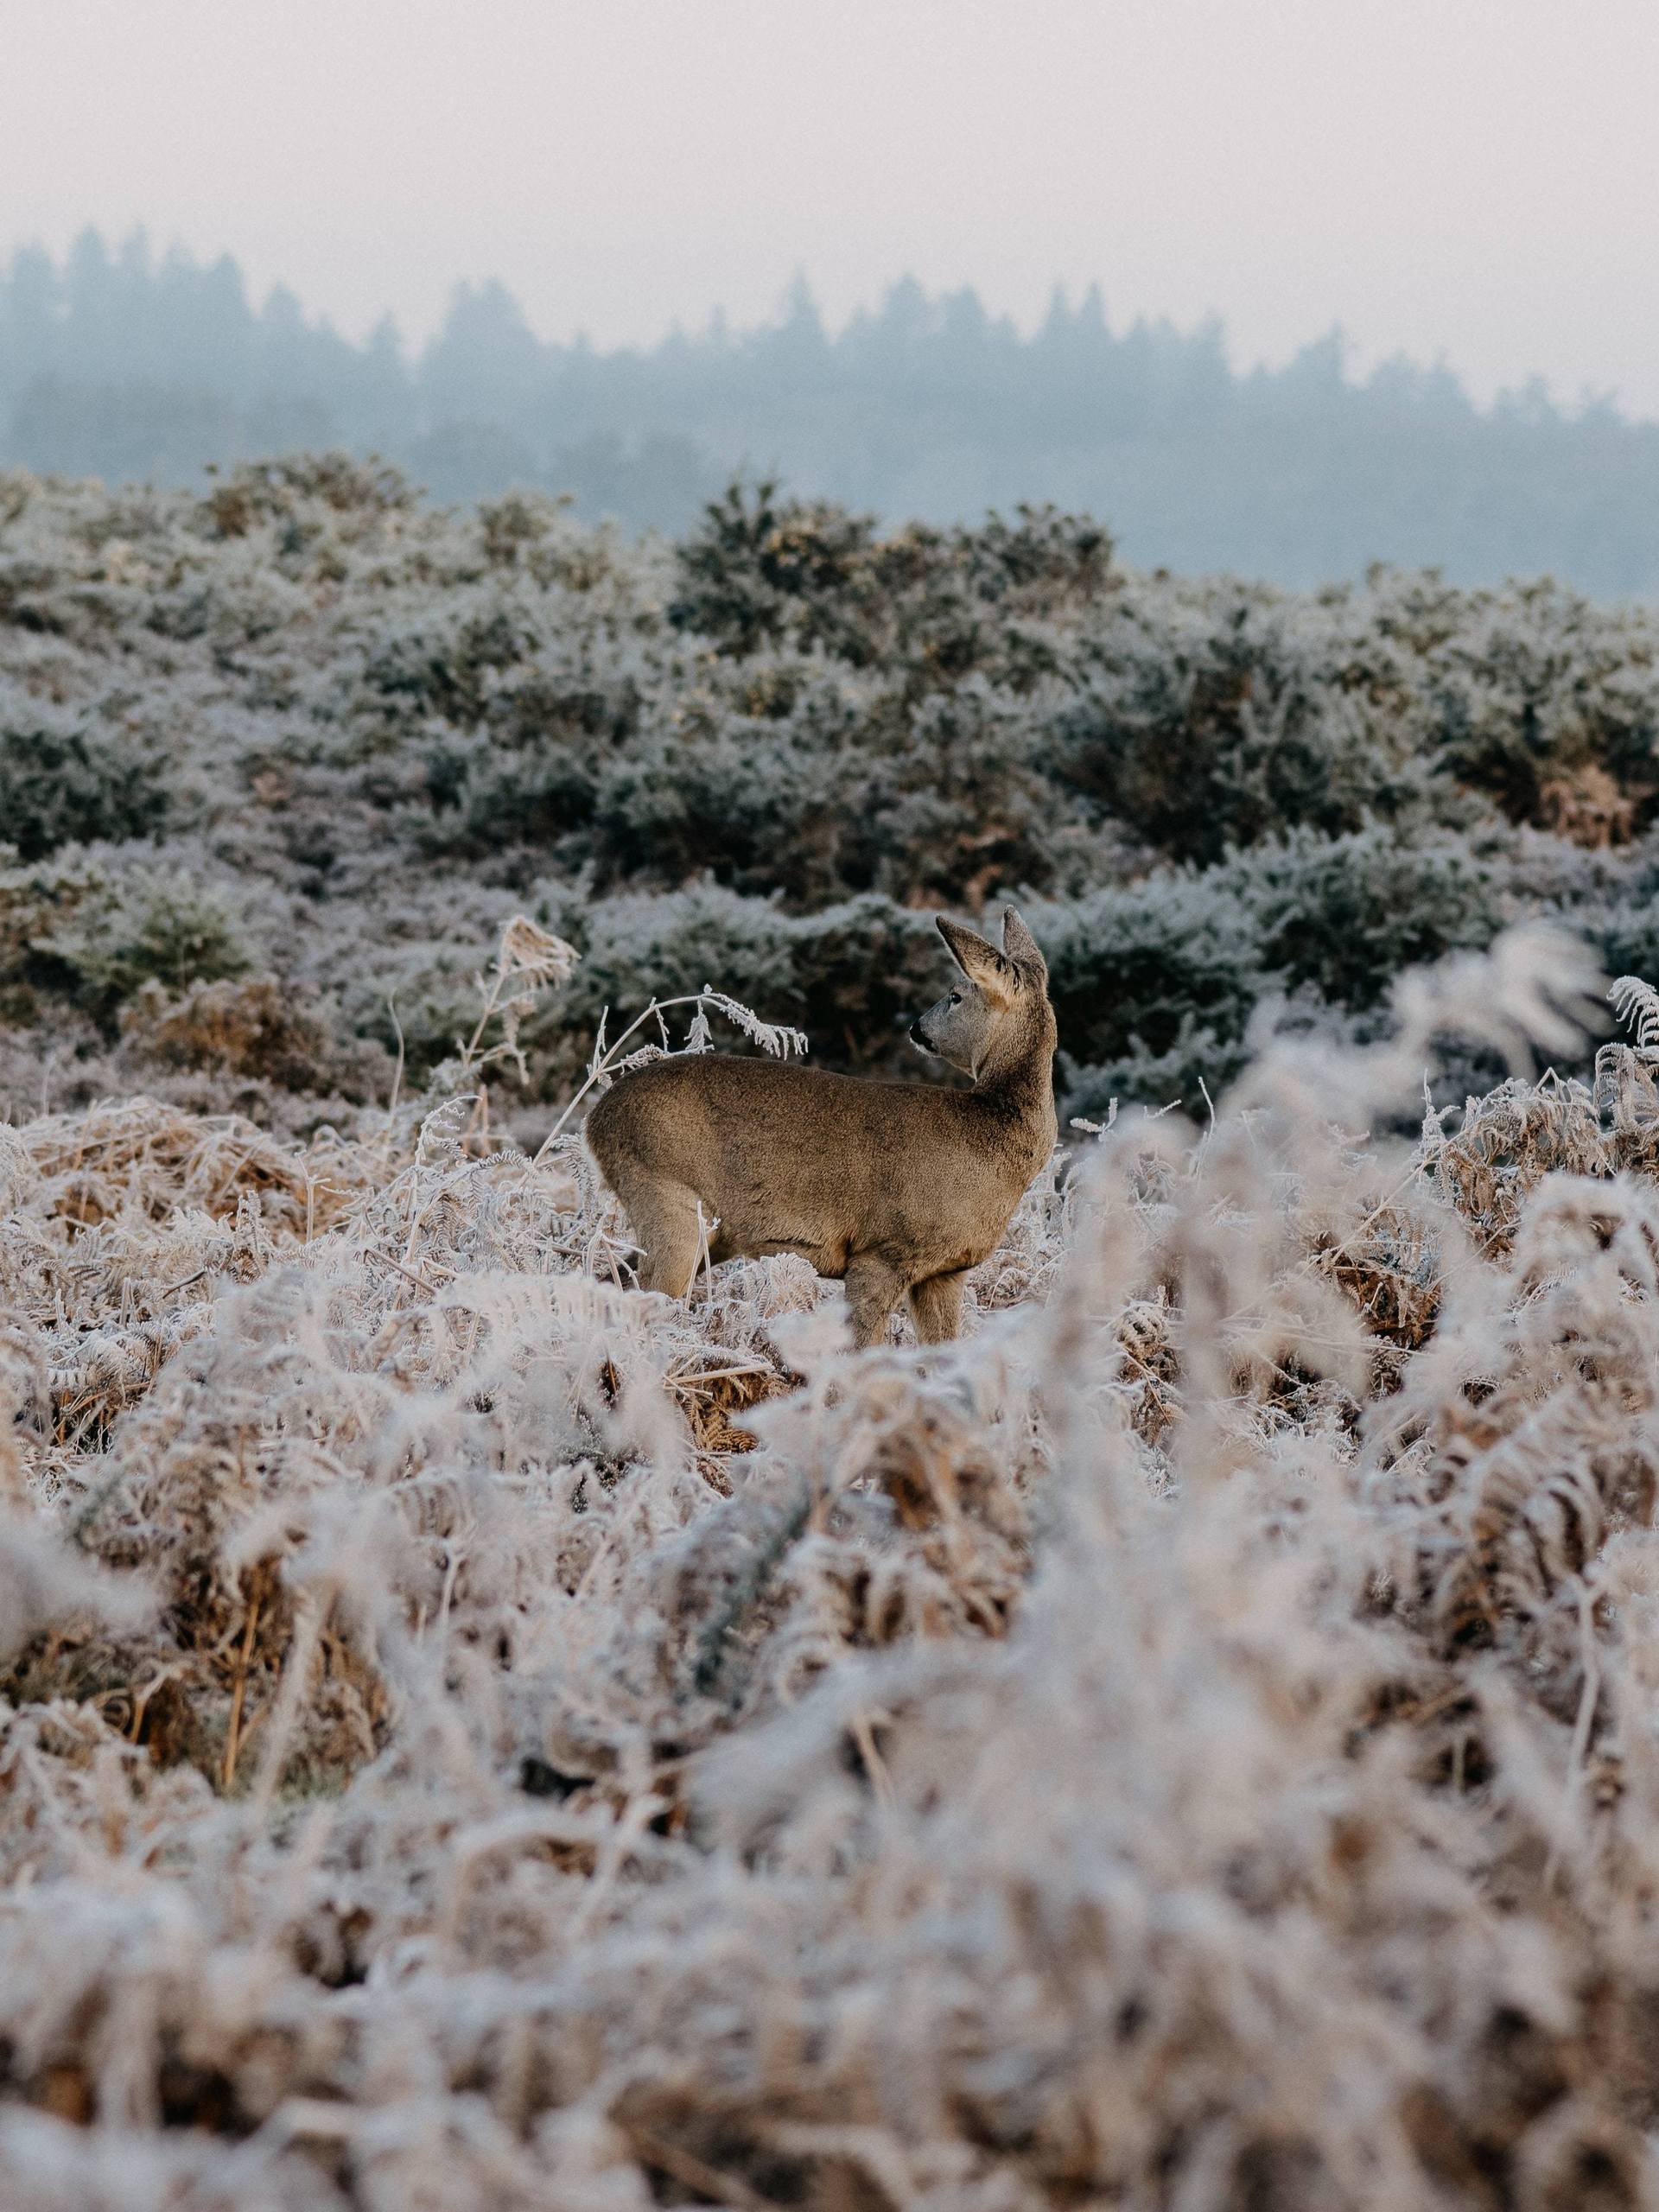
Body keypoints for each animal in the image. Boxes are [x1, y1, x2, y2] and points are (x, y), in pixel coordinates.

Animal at [583, 902, 1057, 1344]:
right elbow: (864, 1347)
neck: (991, 1137)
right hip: (666, 1198)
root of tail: (595, 1122)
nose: (915, 1027)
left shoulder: (946, 1272)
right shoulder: (883, 1249)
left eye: (956, 996)